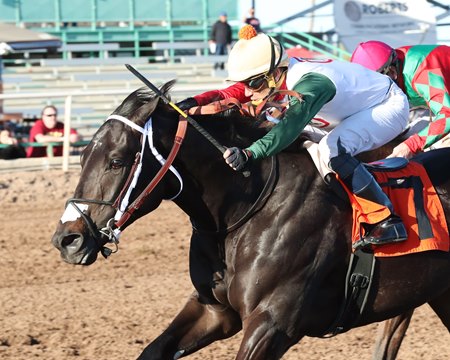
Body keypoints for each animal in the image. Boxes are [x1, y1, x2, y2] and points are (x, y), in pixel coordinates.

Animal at [51, 83, 450, 358]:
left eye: (117, 160)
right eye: (83, 155)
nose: (67, 239)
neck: (247, 210)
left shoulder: (273, 323)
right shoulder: (214, 310)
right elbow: (153, 349)